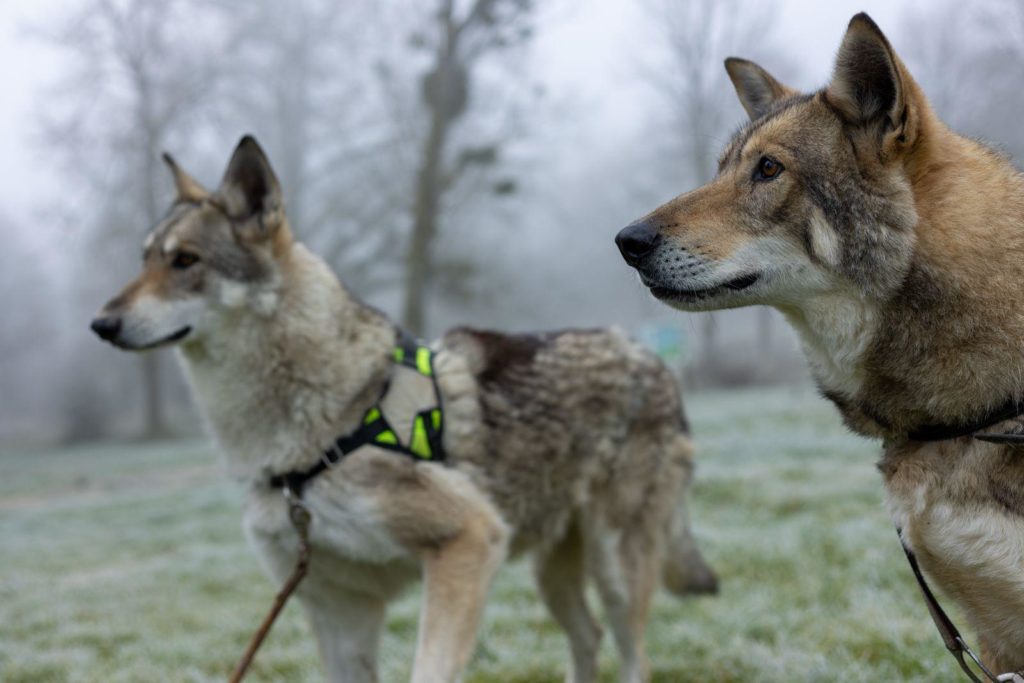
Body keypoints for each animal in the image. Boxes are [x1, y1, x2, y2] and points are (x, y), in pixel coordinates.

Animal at [94, 136, 720, 679]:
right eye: (144, 260)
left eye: (185, 261)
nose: (101, 325)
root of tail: (649, 354)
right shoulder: (336, 607)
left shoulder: (467, 542)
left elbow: (430, 670)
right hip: (551, 573)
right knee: (588, 638)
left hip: (614, 570)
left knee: (633, 654)